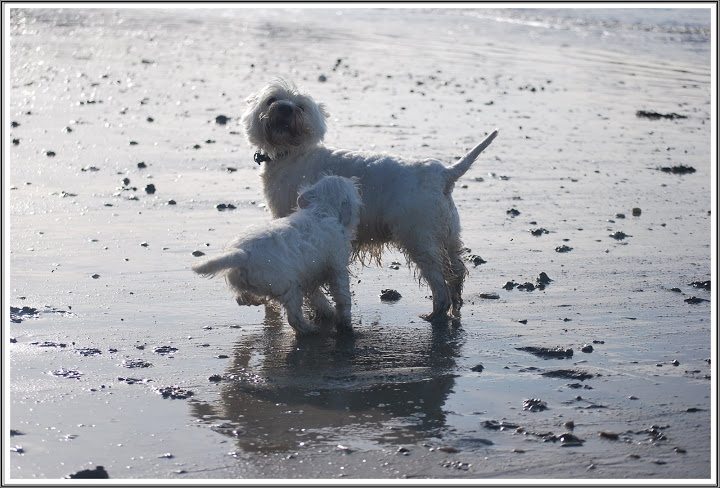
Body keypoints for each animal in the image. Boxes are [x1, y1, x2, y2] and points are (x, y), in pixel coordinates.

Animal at [191, 175, 360, 336]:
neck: (320, 212)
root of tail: (243, 253)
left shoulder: (308, 275)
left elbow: (317, 297)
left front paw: (328, 311)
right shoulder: (337, 268)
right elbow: (343, 298)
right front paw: (345, 324)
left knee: (242, 297)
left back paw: (254, 300)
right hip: (289, 287)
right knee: (294, 318)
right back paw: (309, 330)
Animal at [242, 79, 496, 324]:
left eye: (301, 106)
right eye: (271, 100)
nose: (285, 108)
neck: (291, 154)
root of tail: (444, 174)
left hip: (419, 238)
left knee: (439, 283)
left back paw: (435, 315)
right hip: (449, 235)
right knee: (457, 271)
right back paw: (455, 306)